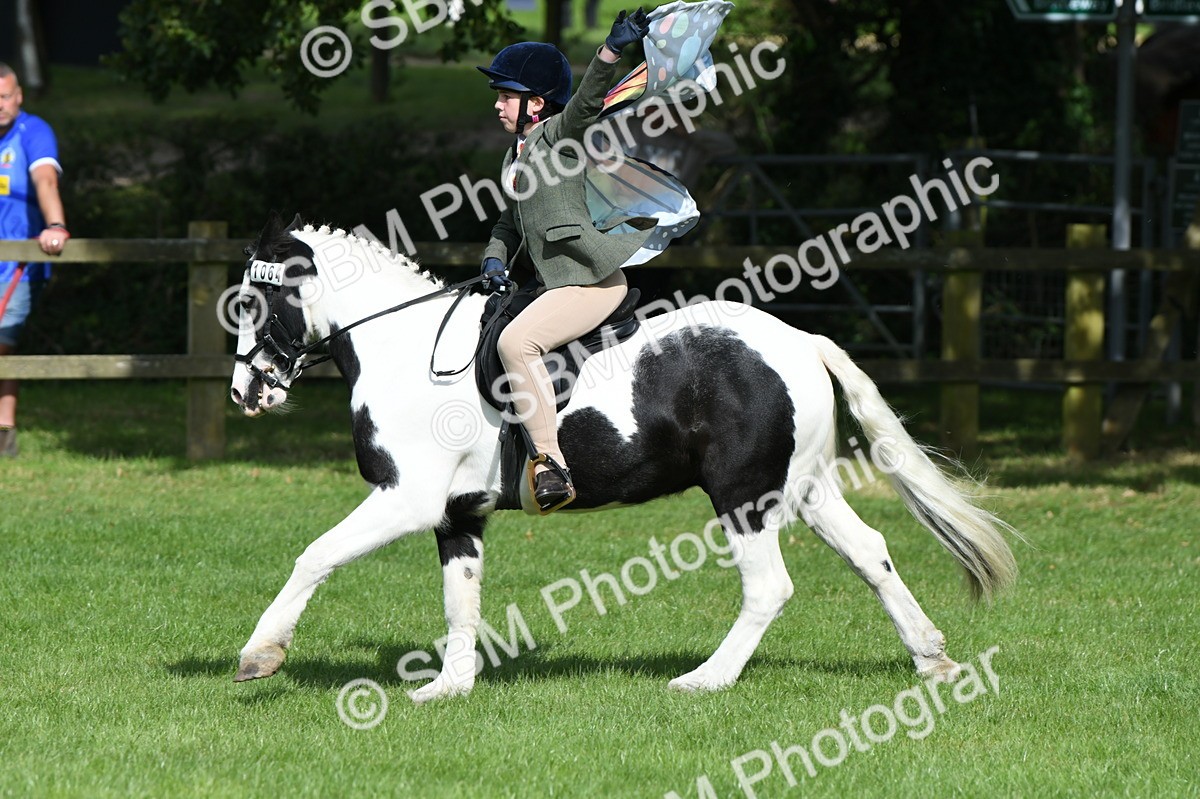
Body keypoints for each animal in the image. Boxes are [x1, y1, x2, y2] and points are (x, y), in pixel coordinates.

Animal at [228, 214, 1017, 703]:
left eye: (257, 300)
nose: (245, 390)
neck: (406, 349)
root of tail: (798, 339)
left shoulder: (405, 497)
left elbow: (314, 555)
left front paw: (260, 654)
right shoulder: (457, 513)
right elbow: (460, 600)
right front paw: (448, 687)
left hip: (743, 493)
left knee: (769, 587)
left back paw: (706, 680)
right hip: (805, 488)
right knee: (872, 553)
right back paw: (932, 657)